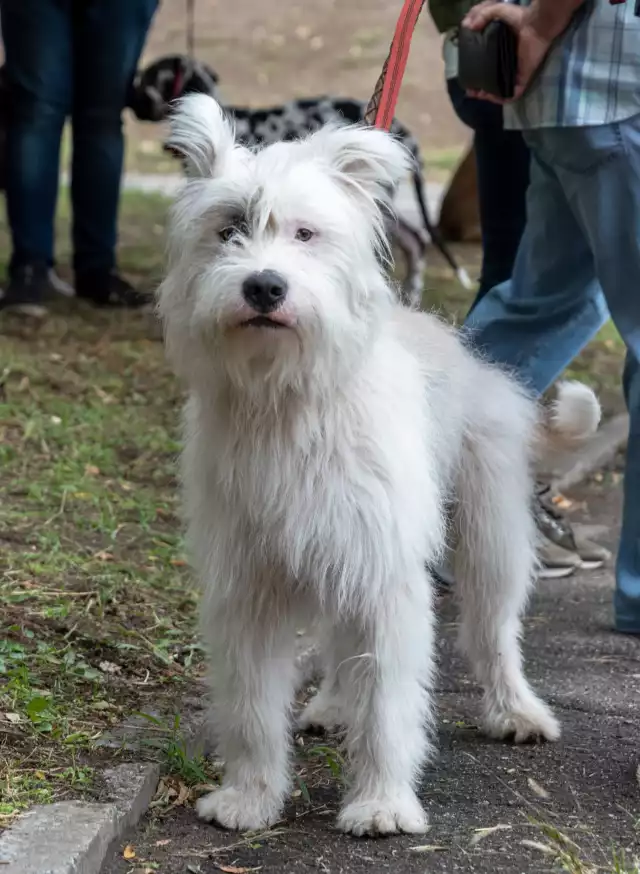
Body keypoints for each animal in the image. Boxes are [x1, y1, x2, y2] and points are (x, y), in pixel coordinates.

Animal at [159, 95, 600, 836]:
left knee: (493, 633)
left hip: (488, 541)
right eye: (231, 229)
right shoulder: (250, 585)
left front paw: (382, 803)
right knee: (343, 651)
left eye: (305, 233)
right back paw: (335, 704)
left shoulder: (386, 577)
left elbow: (390, 705)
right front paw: (250, 795)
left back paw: (516, 711)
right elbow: (251, 707)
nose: (265, 287)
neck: (290, 399)